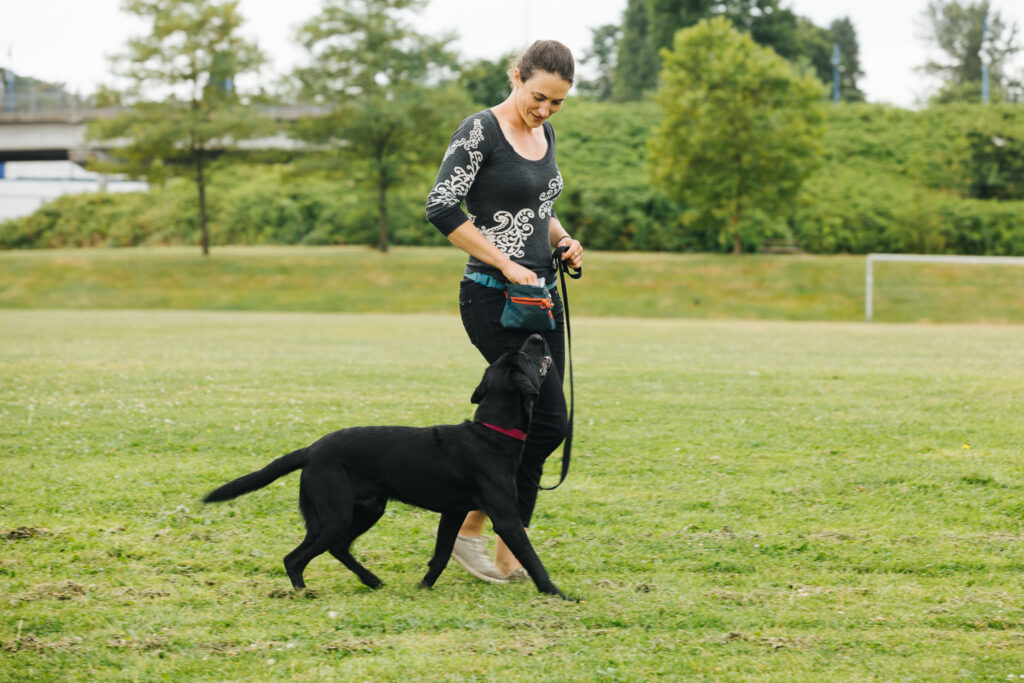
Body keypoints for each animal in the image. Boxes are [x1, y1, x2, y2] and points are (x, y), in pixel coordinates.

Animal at [199, 335, 569, 598]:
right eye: (525, 357)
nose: (537, 335)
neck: (490, 434)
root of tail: (311, 450)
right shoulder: (505, 518)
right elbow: (532, 558)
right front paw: (558, 594)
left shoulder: (452, 513)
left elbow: (441, 554)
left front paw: (423, 588)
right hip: (335, 515)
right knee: (296, 557)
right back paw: (304, 592)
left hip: (367, 509)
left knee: (338, 548)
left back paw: (372, 581)